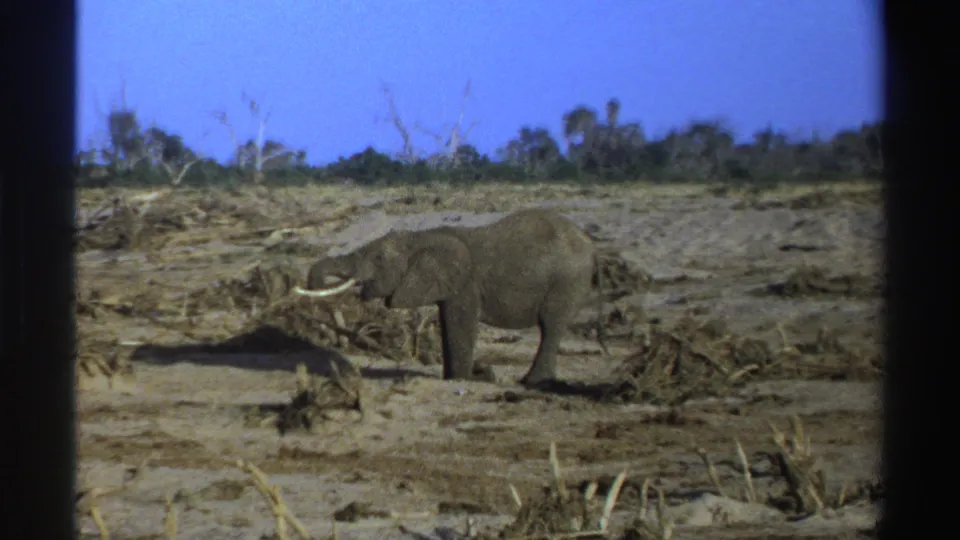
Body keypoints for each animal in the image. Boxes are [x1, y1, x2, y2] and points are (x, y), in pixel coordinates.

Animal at [294, 208, 607, 387]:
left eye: (380, 259)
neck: (422, 237)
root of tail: (592, 246)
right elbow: (447, 323)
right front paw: (459, 377)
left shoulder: (466, 283)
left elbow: (461, 324)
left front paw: (469, 378)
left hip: (566, 281)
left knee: (551, 326)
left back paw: (532, 382)